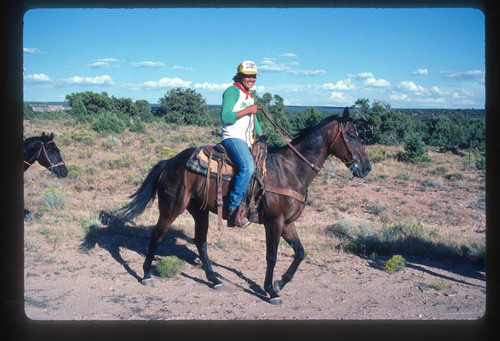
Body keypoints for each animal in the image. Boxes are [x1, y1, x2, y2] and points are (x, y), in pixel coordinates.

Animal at [119, 107, 372, 304]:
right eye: (351, 135)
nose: (366, 168)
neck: (291, 170)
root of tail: (169, 161)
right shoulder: (274, 223)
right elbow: (272, 256)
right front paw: (270, 291)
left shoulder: (288, 223)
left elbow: (300, 253)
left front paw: (280, 283)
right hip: (171, 209)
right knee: (157, 237)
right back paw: (146, 275)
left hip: (200, 211)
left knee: (201, 242)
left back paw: (214, 279)